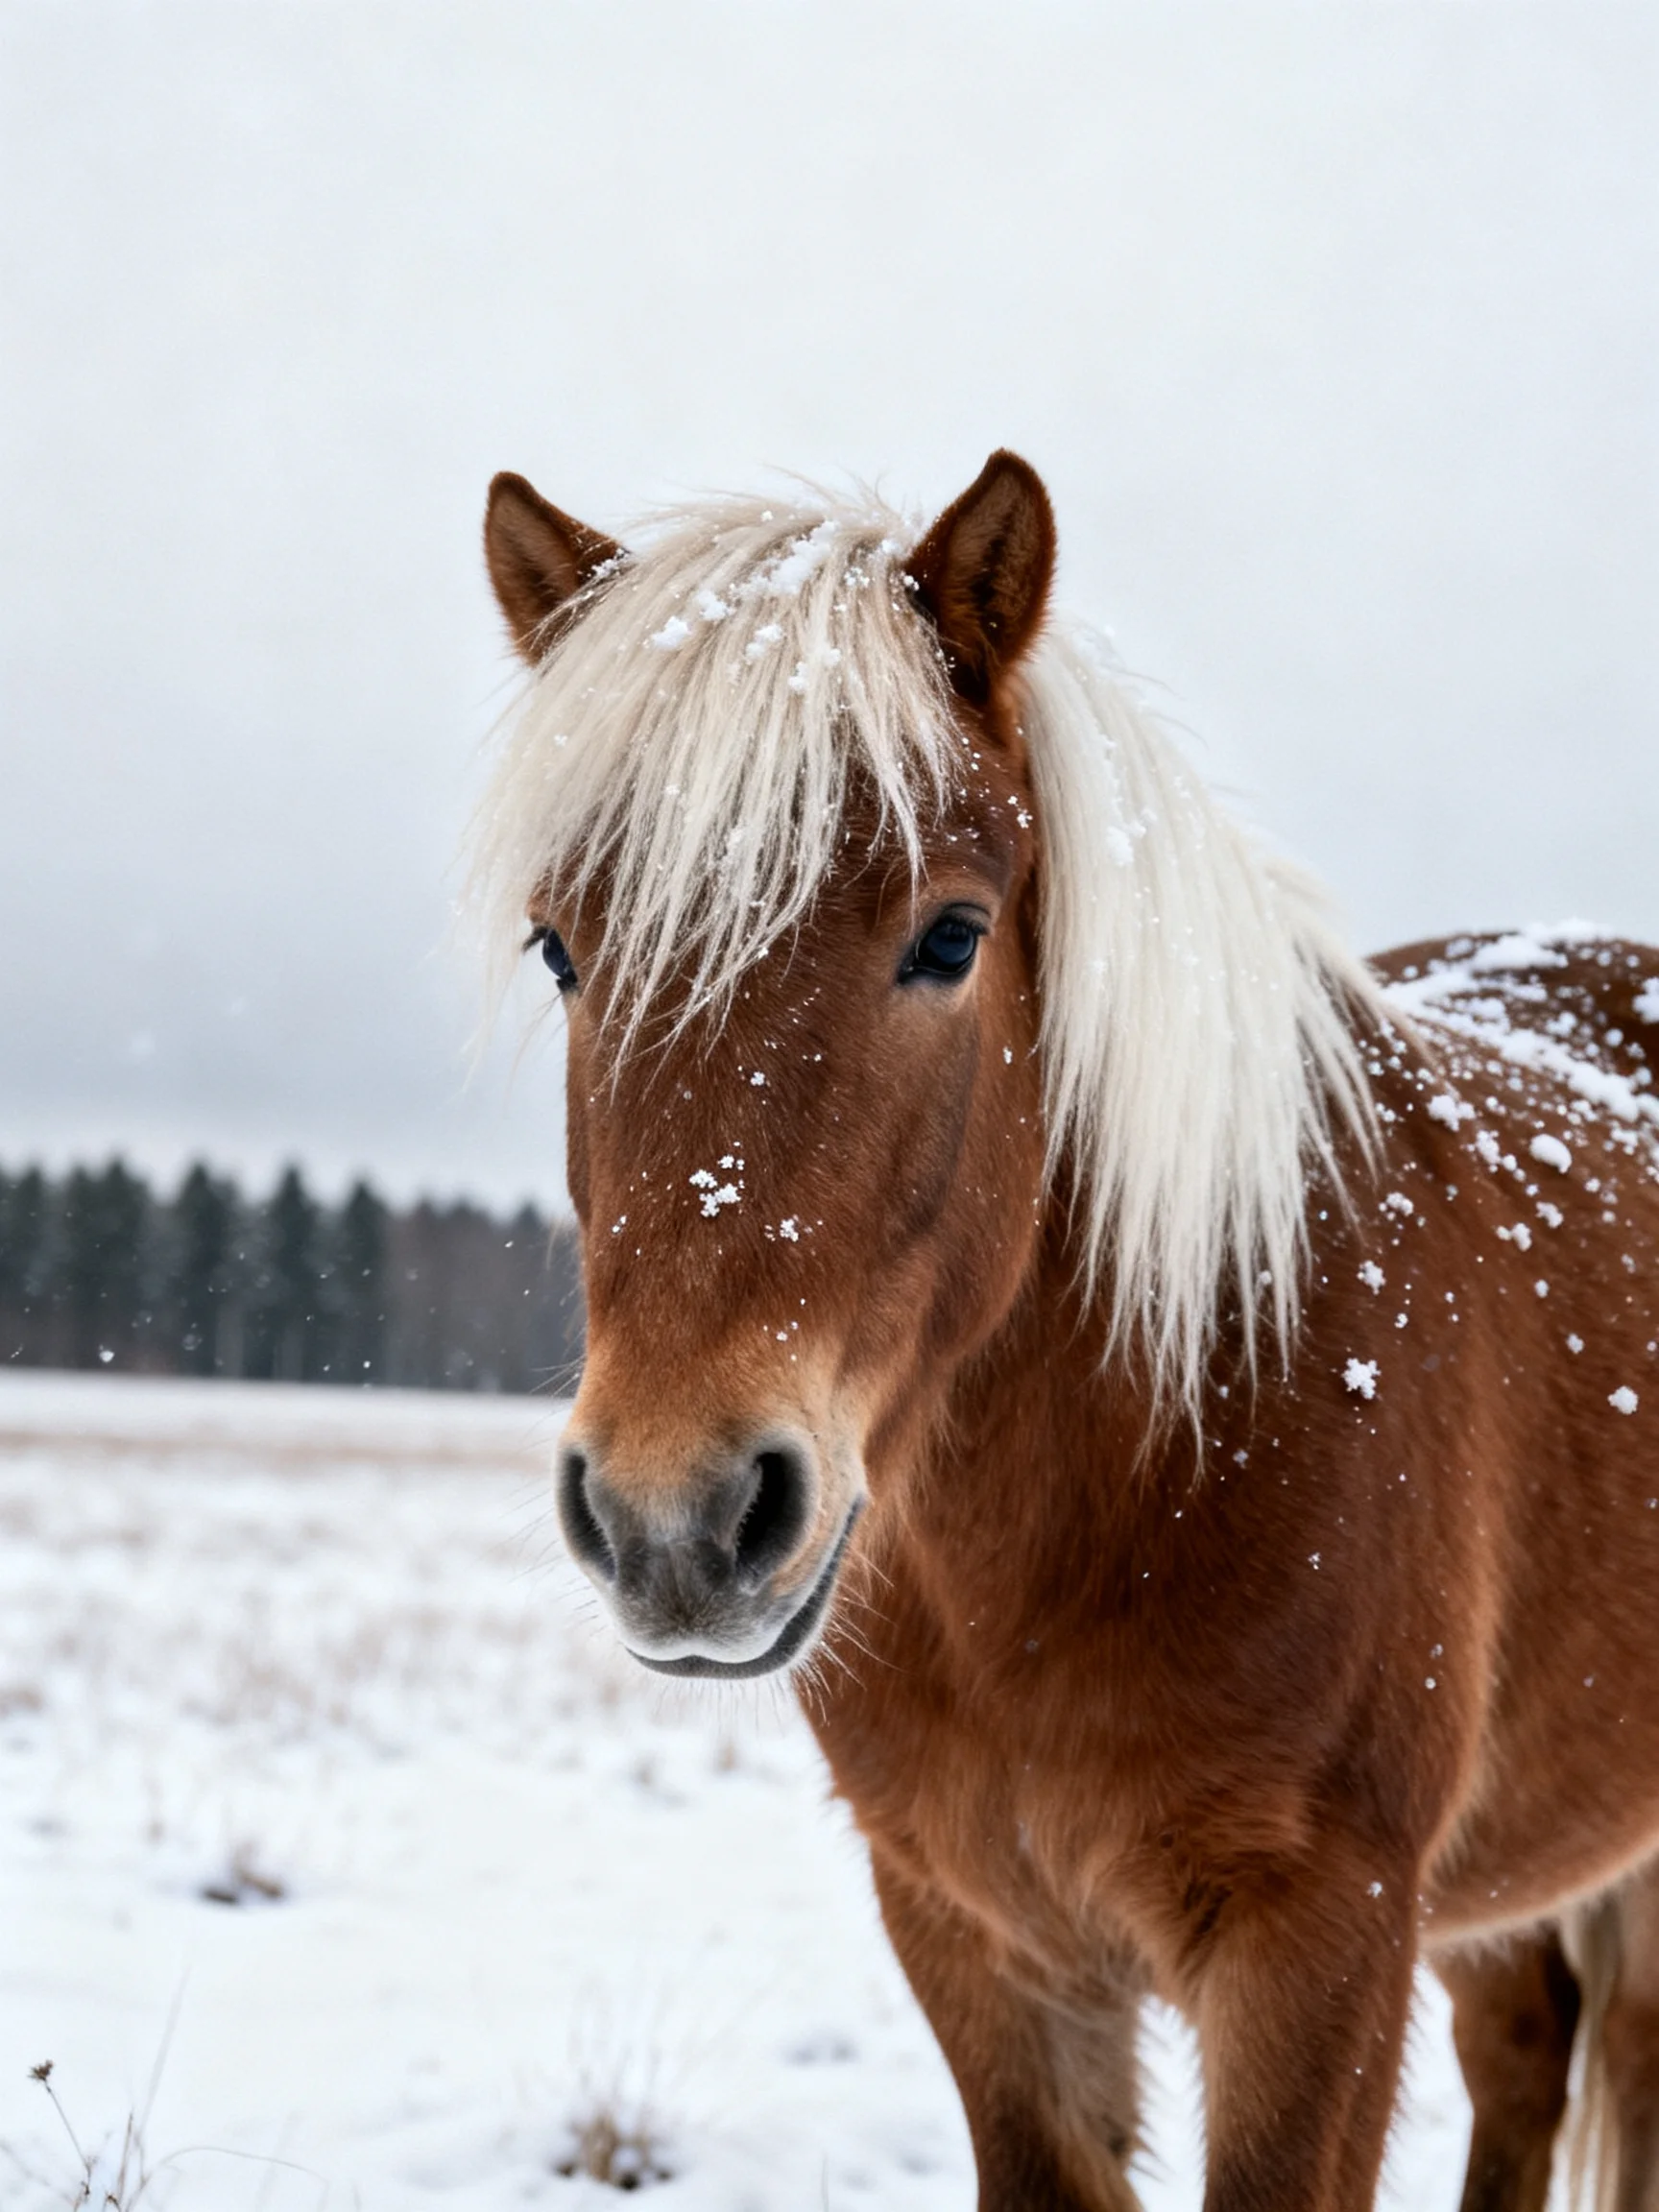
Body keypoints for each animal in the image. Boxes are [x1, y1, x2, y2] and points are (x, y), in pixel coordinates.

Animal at [470, 451, 1659, 2212]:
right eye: (560, 946)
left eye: (952, 936)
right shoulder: (975, 1938)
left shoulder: (1321, 1942)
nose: (673, 1519)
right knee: (1527, 2051)